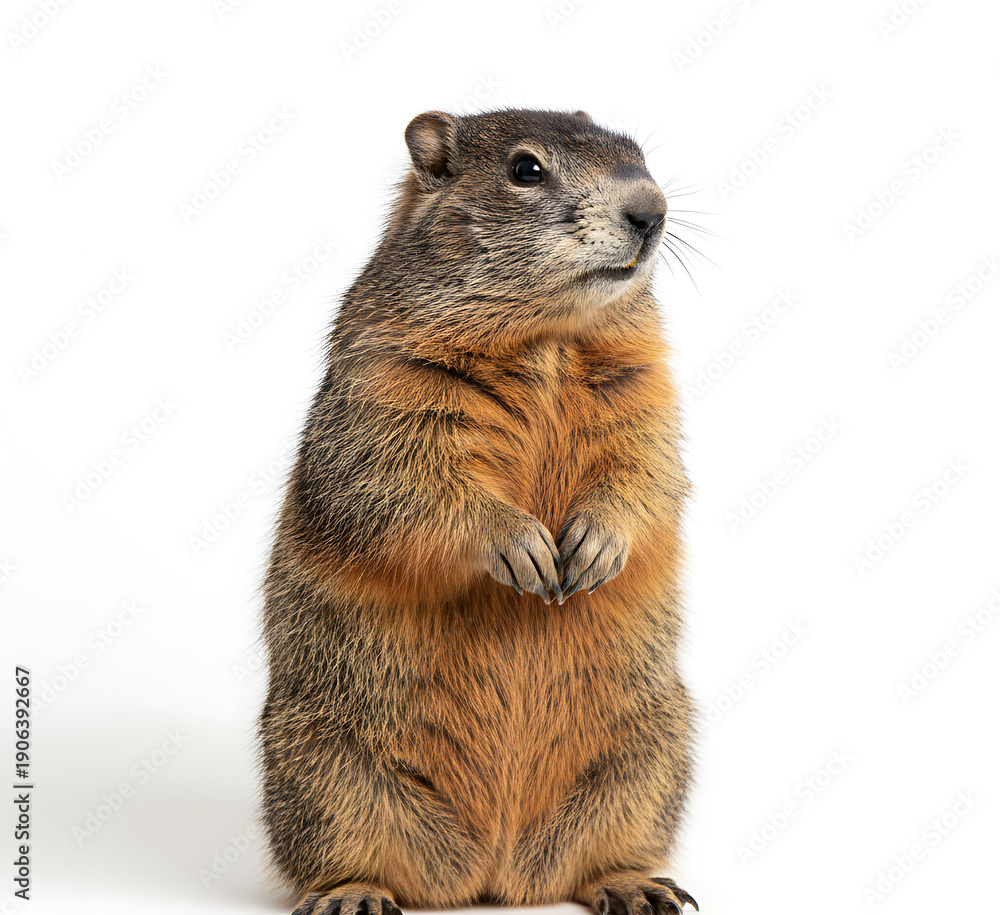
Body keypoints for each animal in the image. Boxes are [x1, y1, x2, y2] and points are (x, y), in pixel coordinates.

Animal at [258, 108, 697, 915]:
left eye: (638, 152)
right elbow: (399, 473)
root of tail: (495, 872)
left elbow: (645, 462)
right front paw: (521, 544)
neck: (550, 337)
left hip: (650, 755)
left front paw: (595, 544)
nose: (651, 210)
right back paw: (353, 892)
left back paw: (634, 883)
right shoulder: (387, 374)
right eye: (526, 169)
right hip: (321, 768)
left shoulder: (645, 380)